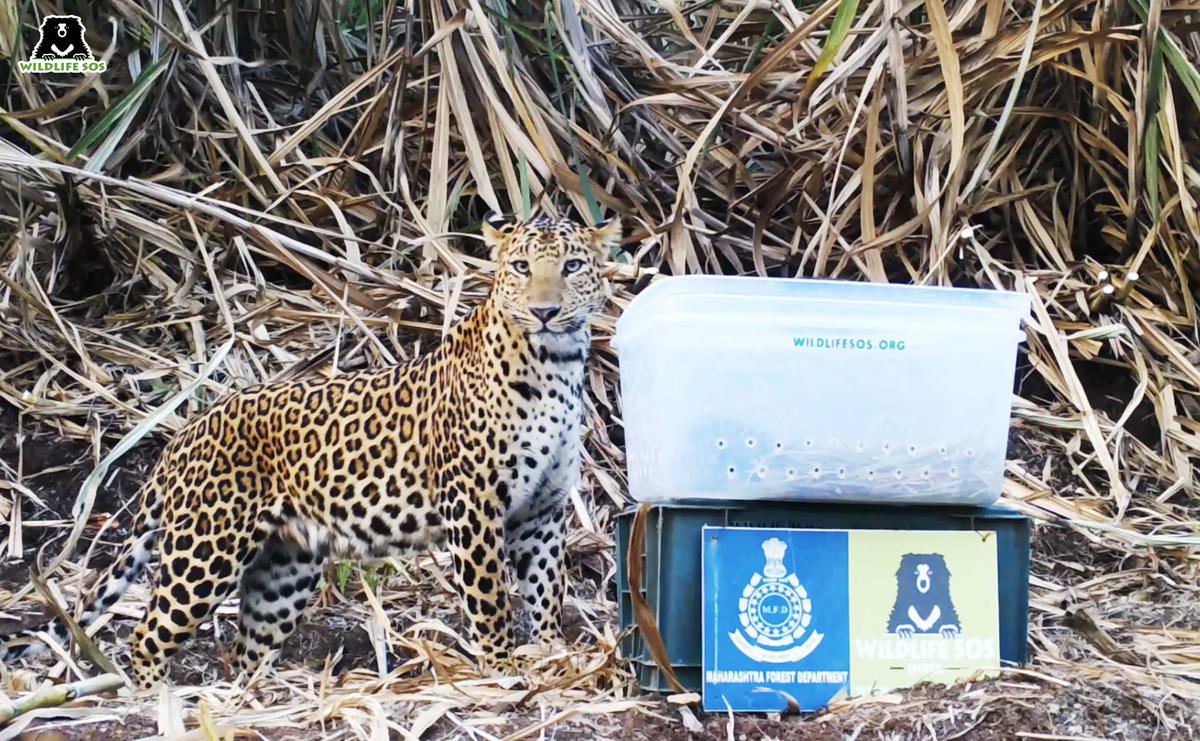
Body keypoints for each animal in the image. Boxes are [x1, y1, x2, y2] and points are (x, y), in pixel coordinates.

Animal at [0, 213, 619, 685]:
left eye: (571, 266)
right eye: (521, 268)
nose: (545, 311)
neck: (557, 364)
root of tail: (183, 435)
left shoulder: (542, 510)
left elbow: (546, 588)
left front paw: (552, 657)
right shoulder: (474, 505)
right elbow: (489, 598)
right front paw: (501, 671)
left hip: (284, 570)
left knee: (246, 647)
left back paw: (251, 699)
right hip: (204, 551)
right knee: (149, 635)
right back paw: (154, 701)